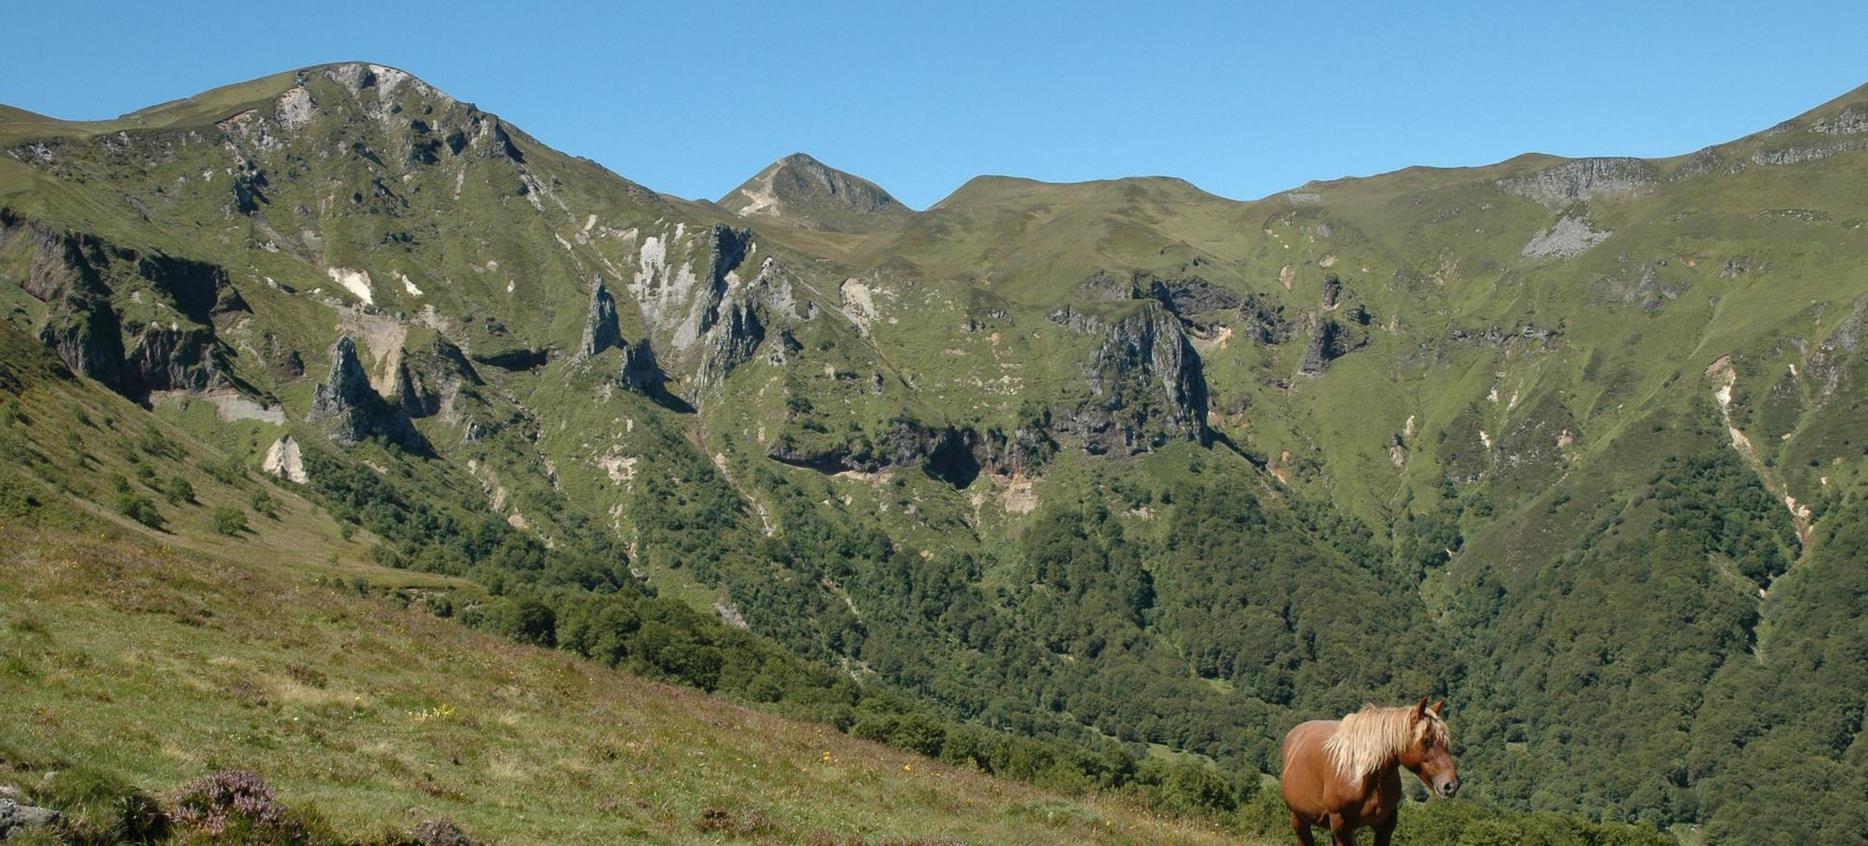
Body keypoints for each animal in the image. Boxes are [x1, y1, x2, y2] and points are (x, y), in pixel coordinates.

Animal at [1285, 698, 1457, 844]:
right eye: (1426, 740)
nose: (1451, 785)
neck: (1362, 776)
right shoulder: (1341, 826)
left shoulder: (1385, 827)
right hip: (1299, 821)